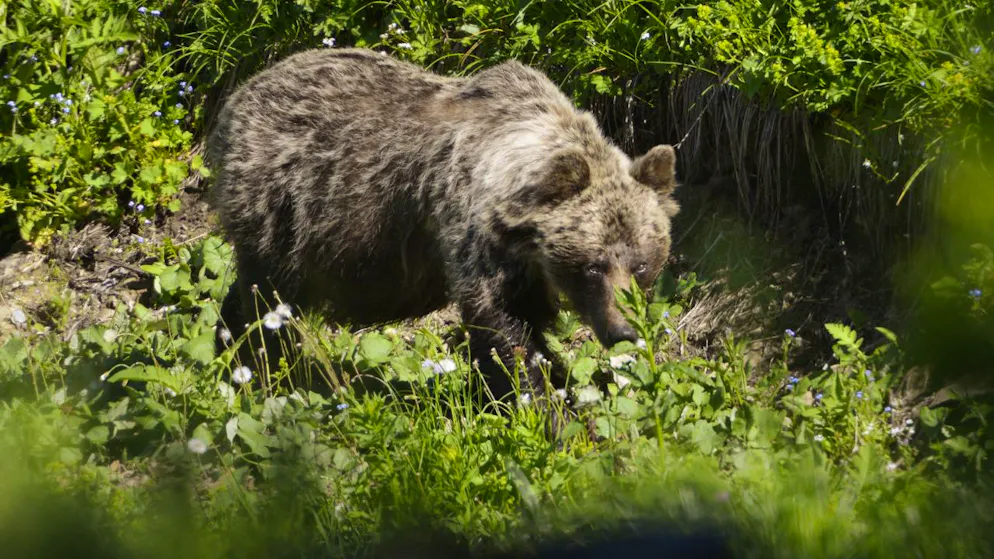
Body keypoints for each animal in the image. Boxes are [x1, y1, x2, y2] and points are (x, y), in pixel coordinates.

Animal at [206, 47, 681, 403]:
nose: (624, 331)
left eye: (641, 264)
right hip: (284, 208)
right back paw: (256, 367)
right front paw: (545, 406)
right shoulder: (474, 235)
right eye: (593, 266)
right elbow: (505, 330)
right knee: (266, 299)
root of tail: (239, 95)